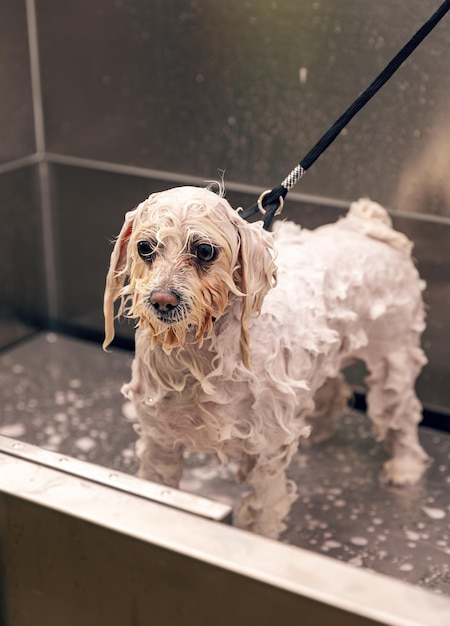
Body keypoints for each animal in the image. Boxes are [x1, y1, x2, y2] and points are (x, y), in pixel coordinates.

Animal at [104, 185, 428, 536]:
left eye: (204, 251)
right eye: (145, 247)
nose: (163, 300)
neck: (198, 358)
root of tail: (369, 227)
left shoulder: (267, 453)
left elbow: (264, 513)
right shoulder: (160, 443)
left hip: (393, 354)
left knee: (402, 411)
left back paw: (405, 468)